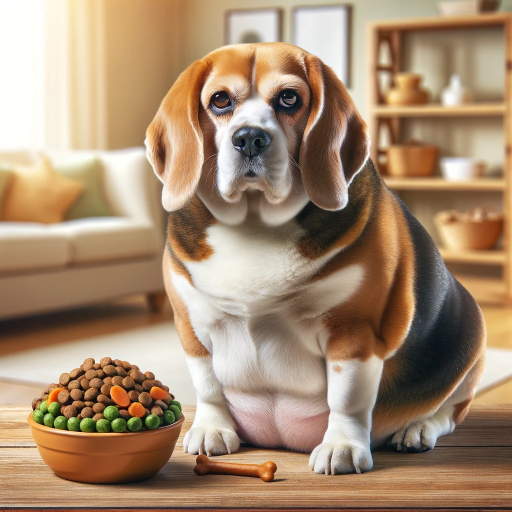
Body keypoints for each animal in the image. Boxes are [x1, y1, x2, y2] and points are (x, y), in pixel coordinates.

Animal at [143, 44, 484, 476]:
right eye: (220, 100)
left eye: (289, 98)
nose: (249, 137)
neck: (255, 226)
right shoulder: (191, 325)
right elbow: (207, 385)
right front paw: (211, 428)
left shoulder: (354, 332)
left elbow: (347, 399)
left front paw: (342, 446)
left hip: (471, 346)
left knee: (449, 412)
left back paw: (417, 430)